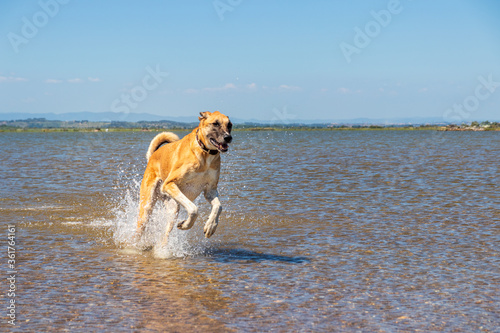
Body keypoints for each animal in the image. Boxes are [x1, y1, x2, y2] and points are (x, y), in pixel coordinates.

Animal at [135, 110, 232, 245]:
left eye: (230, 125)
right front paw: (186, 224)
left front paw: (211, 226)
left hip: (173, 209)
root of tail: (153, 155)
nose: (228, 138)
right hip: (146, 208)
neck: (204, 153)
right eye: (215, 124)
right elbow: (193, 209)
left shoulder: (210, 190)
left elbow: (218, 207)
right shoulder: (169, 184)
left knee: (165, 236)